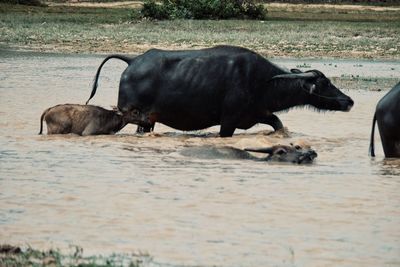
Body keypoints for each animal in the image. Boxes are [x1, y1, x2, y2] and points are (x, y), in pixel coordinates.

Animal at [85, 45, 354, 137]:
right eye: (325, 83)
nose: (349, 101)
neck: (262, 82)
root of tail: (132, 61)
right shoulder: (229, 121)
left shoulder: (259, 114)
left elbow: (278, 124)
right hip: (136, 116)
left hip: (149, 120)